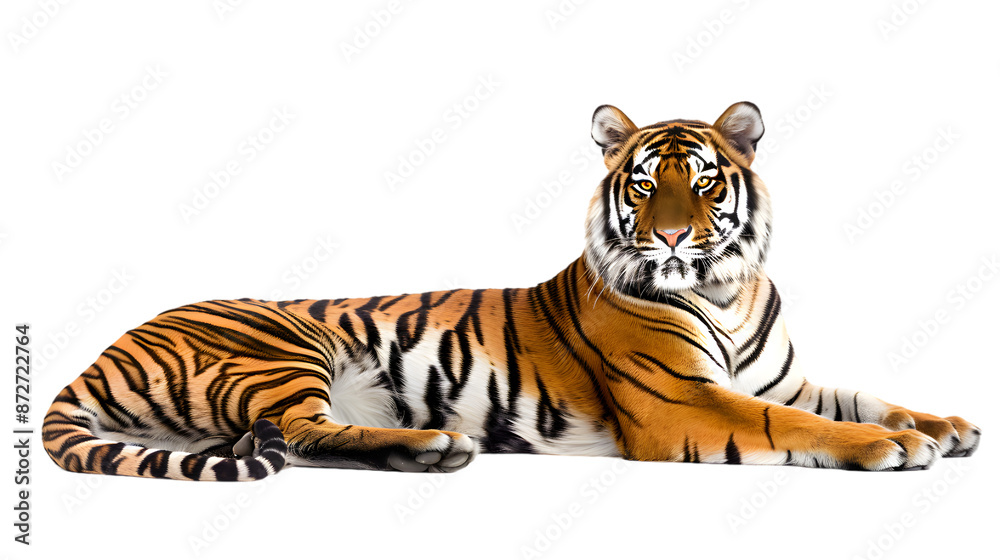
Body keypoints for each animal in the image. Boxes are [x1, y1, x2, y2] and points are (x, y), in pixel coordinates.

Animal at [43, 101, 980, 481]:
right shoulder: (683, 401)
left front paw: (945, 425)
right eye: (647, 184)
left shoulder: (778, 375)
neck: (725, 290)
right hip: (282, 345)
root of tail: (102, 351)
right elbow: (800, 425)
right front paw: (889, 448)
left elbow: (864, 396)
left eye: (706, 181)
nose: (674, 237)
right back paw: (432, 445)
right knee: (301, 434)